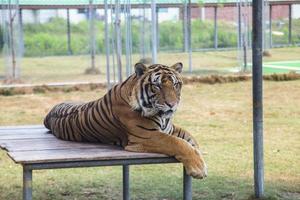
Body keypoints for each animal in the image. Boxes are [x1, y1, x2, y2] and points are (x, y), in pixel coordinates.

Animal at [44, 62, 207, 178]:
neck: (161, 116)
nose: (172, 104)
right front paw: (198, 168)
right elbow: (178, 143)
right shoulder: (147, 136)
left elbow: (189, 138)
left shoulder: (170, 128)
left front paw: (198, 153)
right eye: (156, 86)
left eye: (176, 84)